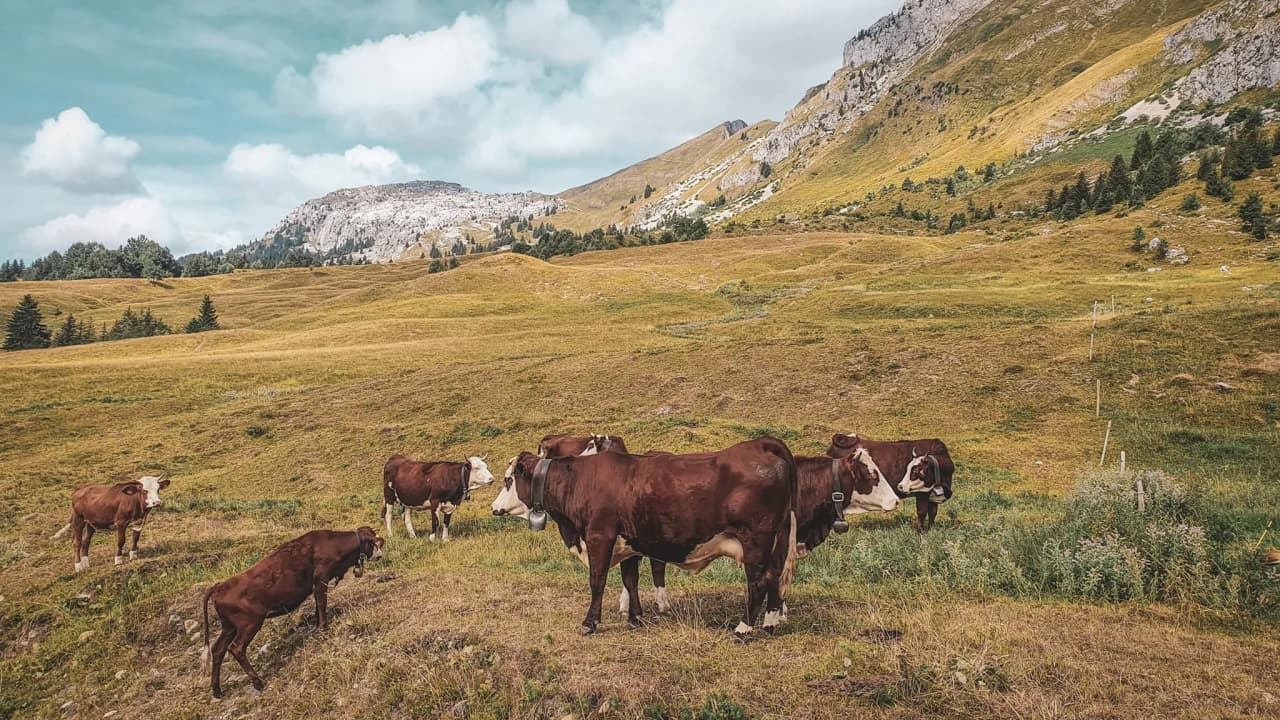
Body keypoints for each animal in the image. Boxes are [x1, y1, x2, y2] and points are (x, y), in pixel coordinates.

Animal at [201, 527, 384, 697]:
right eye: (373, 543)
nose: (380, 556)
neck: (333, 543)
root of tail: (219, 587)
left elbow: (317, 605)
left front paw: (316, 624)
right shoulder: (321, 579)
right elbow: (322, 603)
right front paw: (323, 628)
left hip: (229, 627)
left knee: (217, 650)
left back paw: (217, 690)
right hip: (250, 624)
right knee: (236, 649)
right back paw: (257, 682)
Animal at [491, 437, 798, 639]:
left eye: (508, 480)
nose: (494, 507)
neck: (580, 481)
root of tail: (760, 444)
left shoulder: (599, 536)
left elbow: (597, 580)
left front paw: (590, 622)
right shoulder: (630, 543)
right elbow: (631, 580)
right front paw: (635, 617)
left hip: (756, 539)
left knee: (758, 581)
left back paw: (744, 628)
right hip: (777, 539)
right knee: (774, 576)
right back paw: (770, 622)